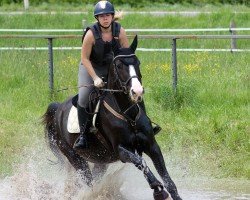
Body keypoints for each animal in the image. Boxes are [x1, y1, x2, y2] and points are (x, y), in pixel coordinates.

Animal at [41, 36, 182, 200]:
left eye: (138, 62)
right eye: (119, 65)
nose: (137, 91)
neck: (129, 116)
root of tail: (58, 110)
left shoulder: (152, 146)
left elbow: (168, 180)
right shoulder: (121, 150)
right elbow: (140, 161)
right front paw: (158, 189)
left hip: (101, 161)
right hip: (74, 157)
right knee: (88, 182)